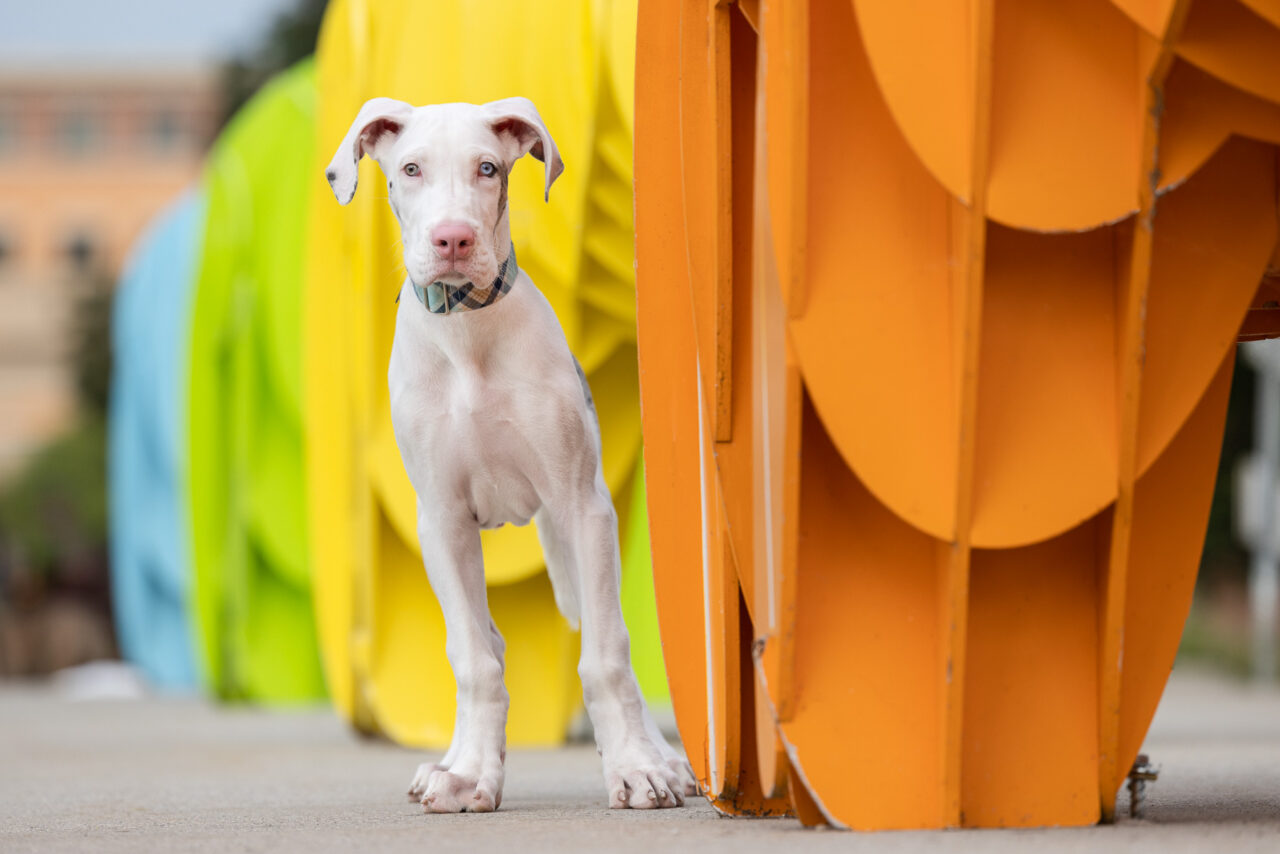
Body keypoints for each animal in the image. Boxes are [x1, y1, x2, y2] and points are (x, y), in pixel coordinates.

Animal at [325, 100, 696, 814]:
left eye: (488, 168)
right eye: (410, 169)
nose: (453, 240)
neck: (469, 333)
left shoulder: (583, 506)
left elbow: (608, 655)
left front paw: (637, 767)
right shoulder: (441, 521)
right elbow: (475, 658)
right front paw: (470, 773)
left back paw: (662, 758)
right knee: (487, 642)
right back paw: (449, 762)